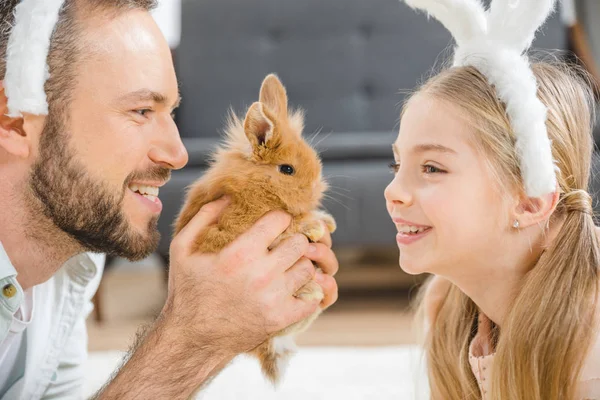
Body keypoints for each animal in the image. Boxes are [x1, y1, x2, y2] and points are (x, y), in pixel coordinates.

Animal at [173, 73, 338, 386]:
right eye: (287, 169)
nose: (316, 190)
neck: (256, 184)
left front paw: (326, 221)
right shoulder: (237, 222)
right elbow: (288, 226)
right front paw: (313, 226)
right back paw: (311, 291)